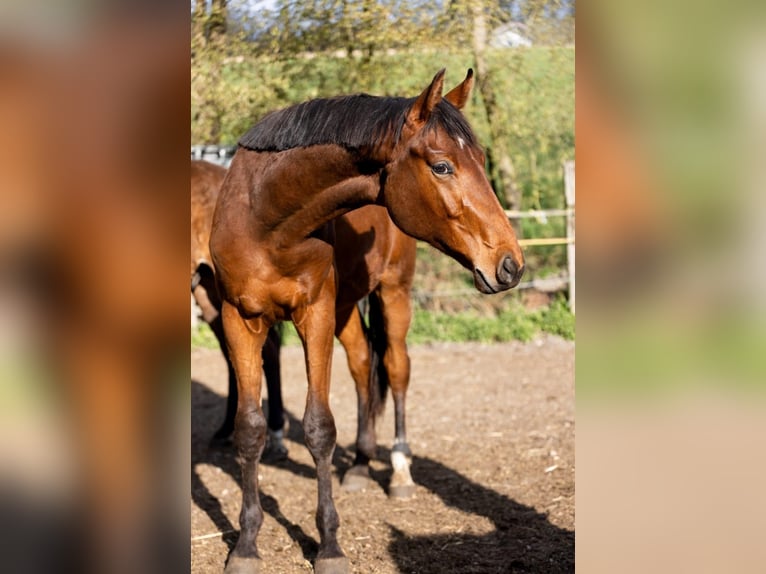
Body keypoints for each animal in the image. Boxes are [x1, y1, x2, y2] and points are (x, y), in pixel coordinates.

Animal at [209, 69, 525, 574]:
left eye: (480, 159)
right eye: (442, 166)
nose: (511, 264)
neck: (266, 220)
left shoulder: (314, 313)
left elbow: (319, 427)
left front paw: (329, 546)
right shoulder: (242, 320)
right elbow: (250, 429)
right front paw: (246, 544)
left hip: (392, 295)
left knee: (395, 369)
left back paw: (398, 470)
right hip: (345, 309)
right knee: (361, 365)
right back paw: (359, 463)